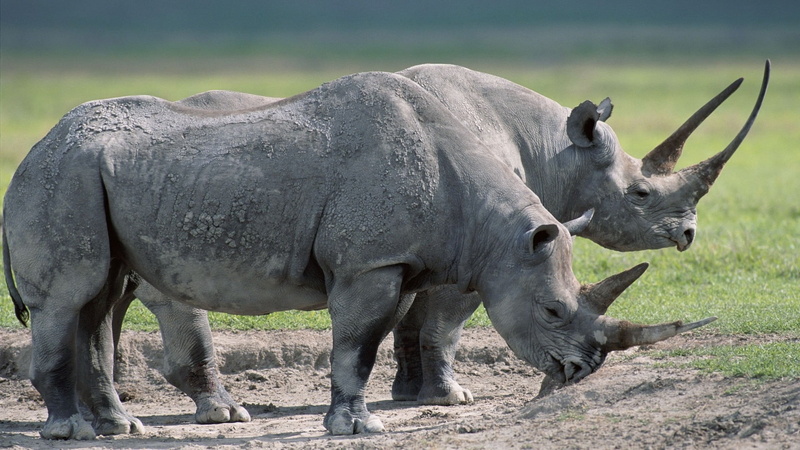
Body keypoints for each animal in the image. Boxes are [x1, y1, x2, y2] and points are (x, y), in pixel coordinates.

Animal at [3, 69, 715, 439]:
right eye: (552, 313)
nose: (582, 369)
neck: (493, 229)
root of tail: (33, 149)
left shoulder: (403, 259)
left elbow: (381, 337)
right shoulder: (369, 263)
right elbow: (359, 343)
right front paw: (358, 427)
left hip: (94, 176)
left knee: (100, 299)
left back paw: (120, 428)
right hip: (62, 176)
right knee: (70, 298)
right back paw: (72, 432)